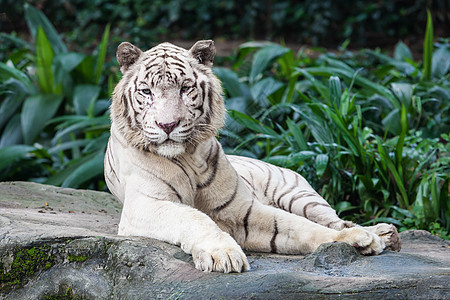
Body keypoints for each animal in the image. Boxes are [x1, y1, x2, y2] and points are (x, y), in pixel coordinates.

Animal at [105, 40, 400, 274]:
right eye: (147, 91)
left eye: (185, 88)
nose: (167, 125)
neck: (188, 156)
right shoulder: (145, 205)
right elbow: (193, 218)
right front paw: (223, 254)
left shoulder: (241, 209)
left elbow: (298, 226)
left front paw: (355, 238)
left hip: (301, 197)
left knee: (332, 218)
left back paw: (383, 233)